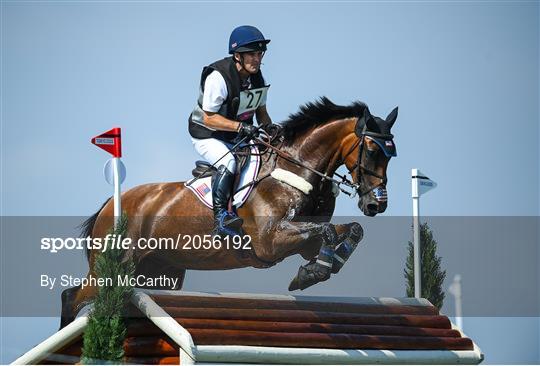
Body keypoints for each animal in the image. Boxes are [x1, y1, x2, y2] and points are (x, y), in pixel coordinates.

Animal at [60, 96, 396, 326]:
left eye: (392, 155)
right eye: (372, 150)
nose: (376, 204)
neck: (296, 168)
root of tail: (111, 204)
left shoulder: (303, 241)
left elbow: (347, 231)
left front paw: (319, 268)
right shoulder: (271, 241)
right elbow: (326, 231)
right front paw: (311, 274)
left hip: (160, 273)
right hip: (109, 270)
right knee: (71, 297)